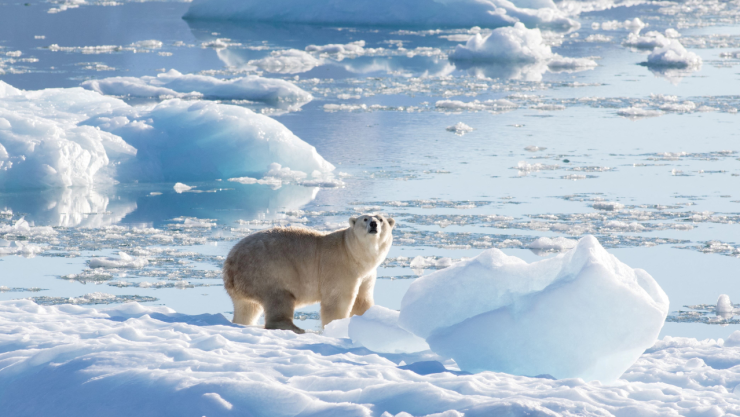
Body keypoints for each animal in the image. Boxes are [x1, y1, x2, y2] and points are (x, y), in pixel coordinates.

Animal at [223, 213, 395, 334]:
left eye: (381, 219)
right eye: (365, 219)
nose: (373, 224)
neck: (352, 252)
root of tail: (230, 262)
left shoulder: (367, 275)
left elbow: (362, 300)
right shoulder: (340, 267)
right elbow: (337, 301)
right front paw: (336, 326)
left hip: (246, 282)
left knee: (247, 307)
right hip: (267, 270)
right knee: (279, 298)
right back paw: (295, 328)